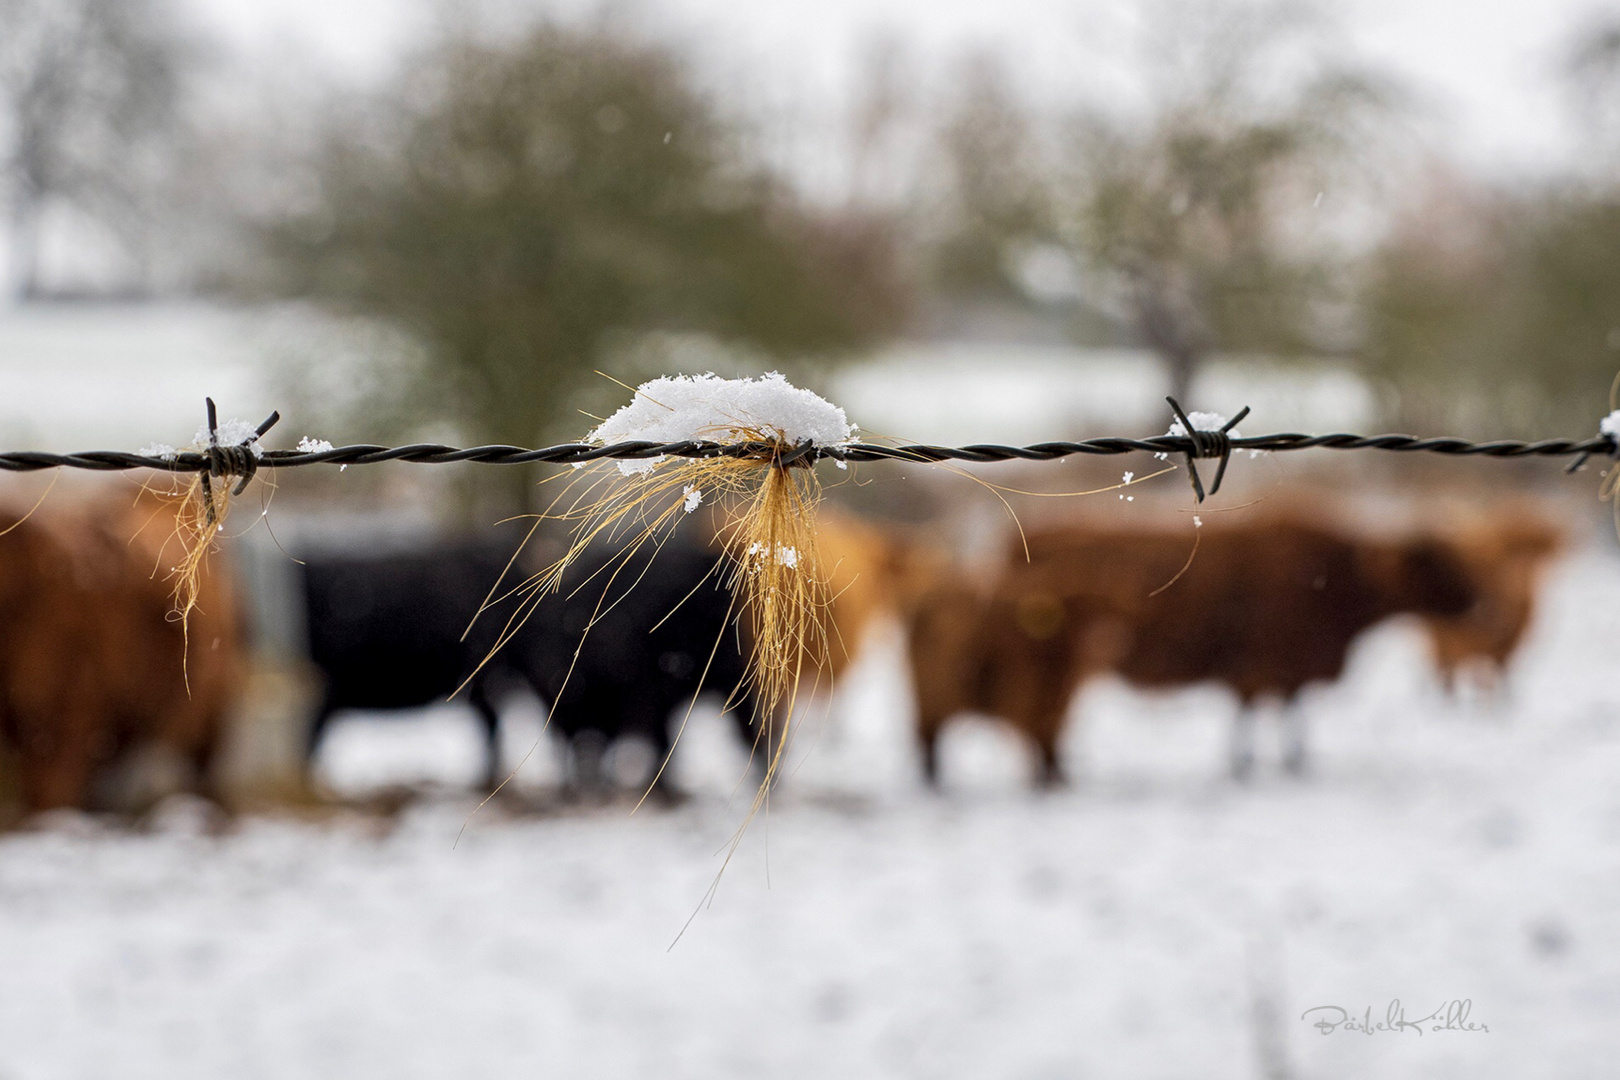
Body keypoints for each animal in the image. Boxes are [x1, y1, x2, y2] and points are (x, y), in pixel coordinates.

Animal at [913, 514, 1483, 786]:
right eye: (1436, 562)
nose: (1482, 596)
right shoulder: (1266, 667)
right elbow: (1261, 721)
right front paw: (1257, 765)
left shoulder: (1278, 672)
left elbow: (1279, 716)